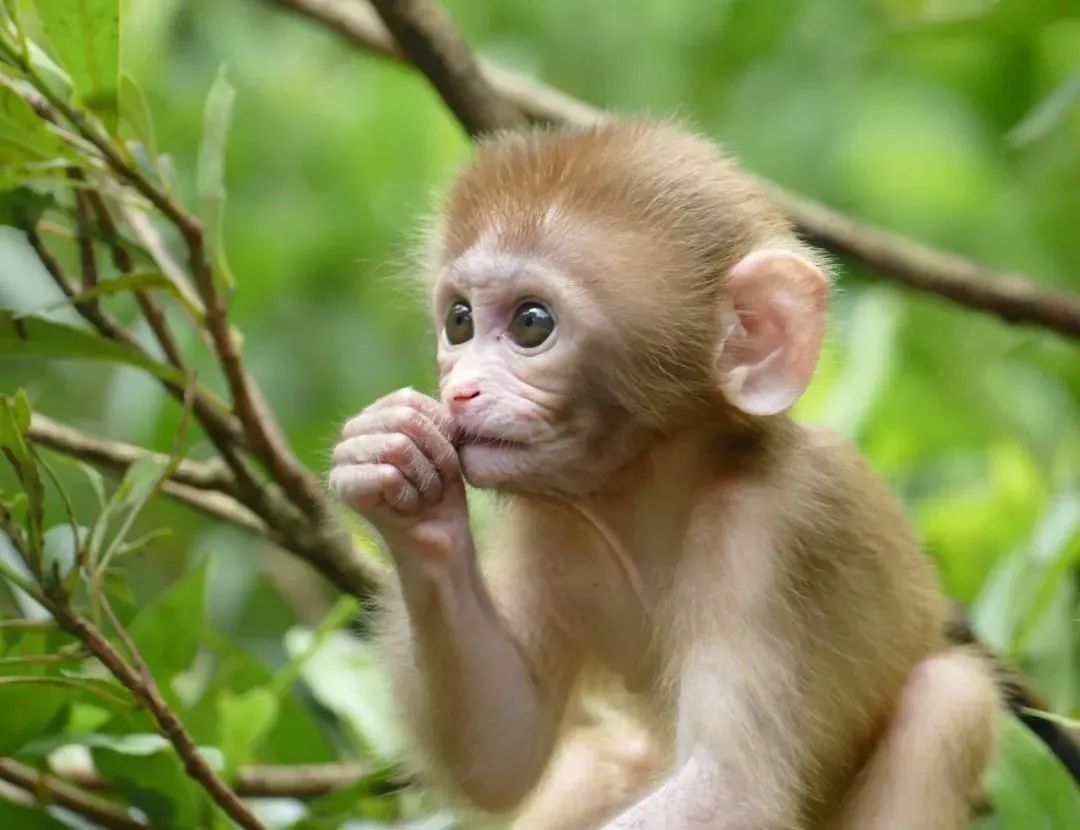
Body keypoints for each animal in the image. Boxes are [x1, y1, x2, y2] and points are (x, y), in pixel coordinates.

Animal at [328, 123, 993, 828]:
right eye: (460, 321)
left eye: (533, 323)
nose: (461, 391)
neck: (643, 491)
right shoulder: (552, 522)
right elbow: (503, 753)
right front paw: (400, 478)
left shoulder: (761, 535)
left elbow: (730, 788)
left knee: (947, 702)